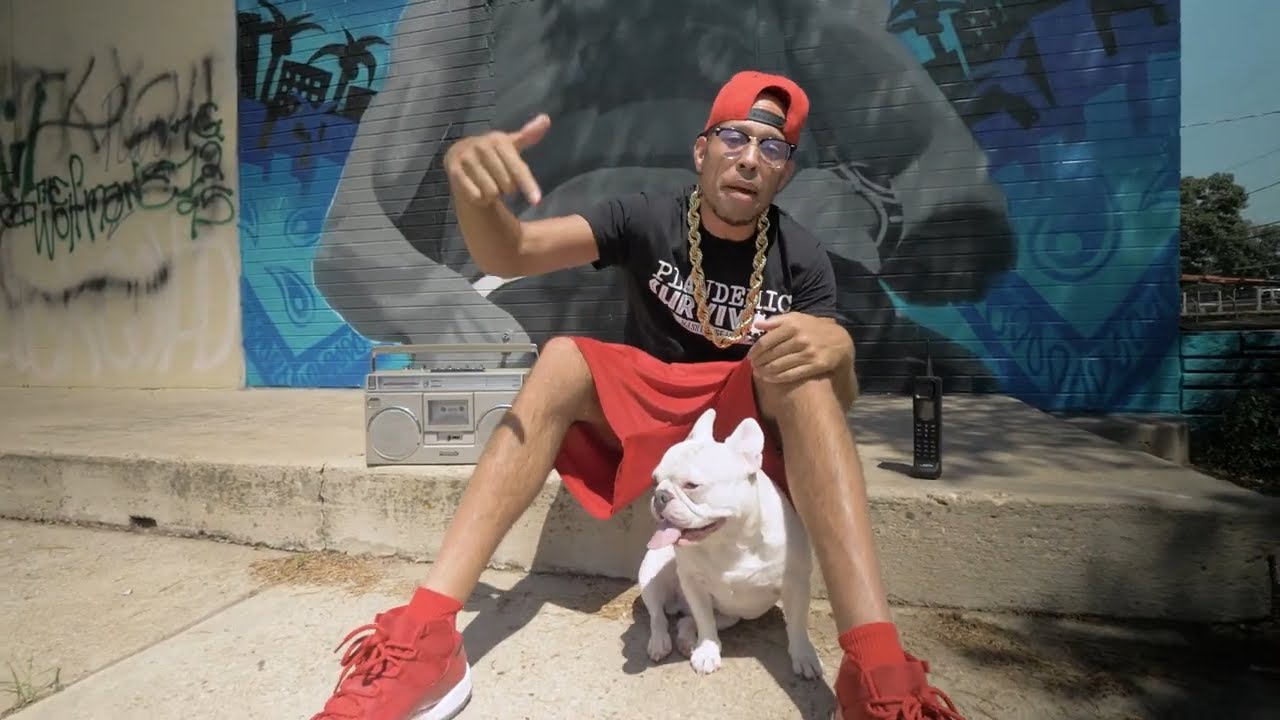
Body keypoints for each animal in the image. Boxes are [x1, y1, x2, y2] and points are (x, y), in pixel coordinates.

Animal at [637, 407, 823, 679]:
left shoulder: (796, 583)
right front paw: (707, 651)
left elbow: (797, 623)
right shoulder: (693, 583)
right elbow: (704, 620)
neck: (732, 541)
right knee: (658, 616)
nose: (660, 495)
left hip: (731, 616)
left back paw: (686, 640)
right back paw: (660, 642)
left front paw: (804, 655)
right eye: (654, 480)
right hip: (649, 576)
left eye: (692, 485)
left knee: (686, 620)